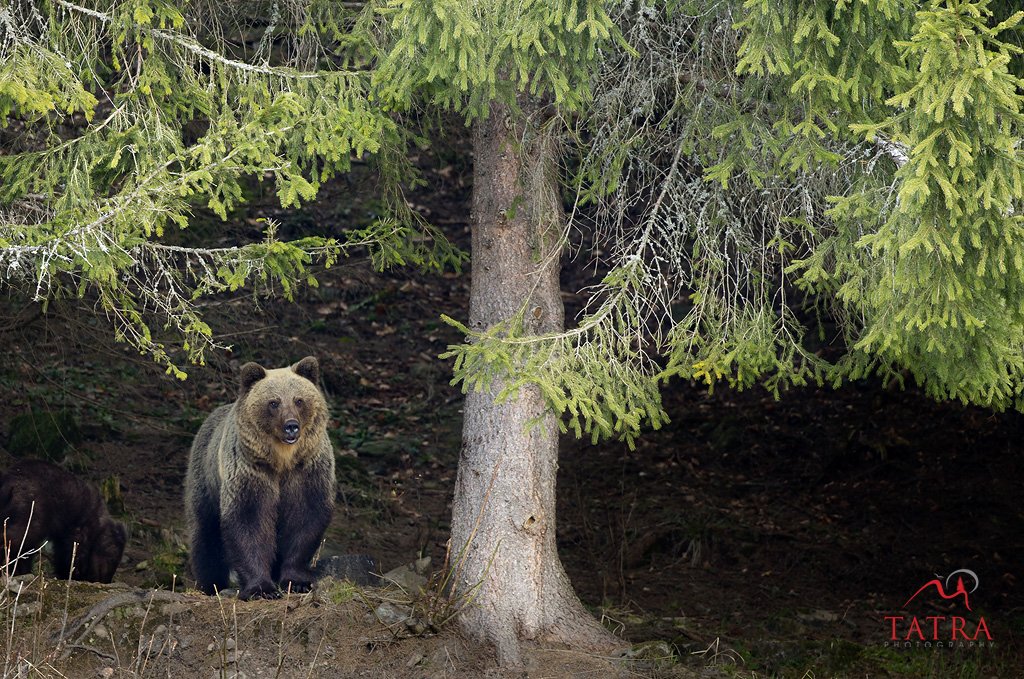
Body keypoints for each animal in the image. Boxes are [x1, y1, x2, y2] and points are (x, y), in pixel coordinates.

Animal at [185, 356, 335, 600]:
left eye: (299, 400)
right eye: (273, 402)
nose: (291, 426)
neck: (282, 461)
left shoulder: (307, 471)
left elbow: (305, 518)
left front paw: (296, 581)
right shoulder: (250, 470)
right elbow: (248, 520)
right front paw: (262, 588)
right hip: (205, 478)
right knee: (206, 532)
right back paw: (211, 584)